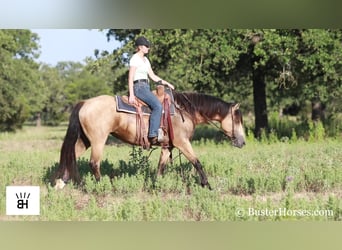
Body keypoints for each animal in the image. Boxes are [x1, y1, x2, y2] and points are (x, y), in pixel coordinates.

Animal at [52, 91, 246, 189]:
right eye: (237, 119)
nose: (242, 142)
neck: (184, 110)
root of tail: (85, 103)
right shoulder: (183, 143)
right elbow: (196, 162)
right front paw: (207, 184)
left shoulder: (168, 147)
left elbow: (161, 167)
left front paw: (156, 186)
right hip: (98, 140)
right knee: (94, 163)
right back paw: (103, 186)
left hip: (84, 140)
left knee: (71, 156)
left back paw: (61, 182)